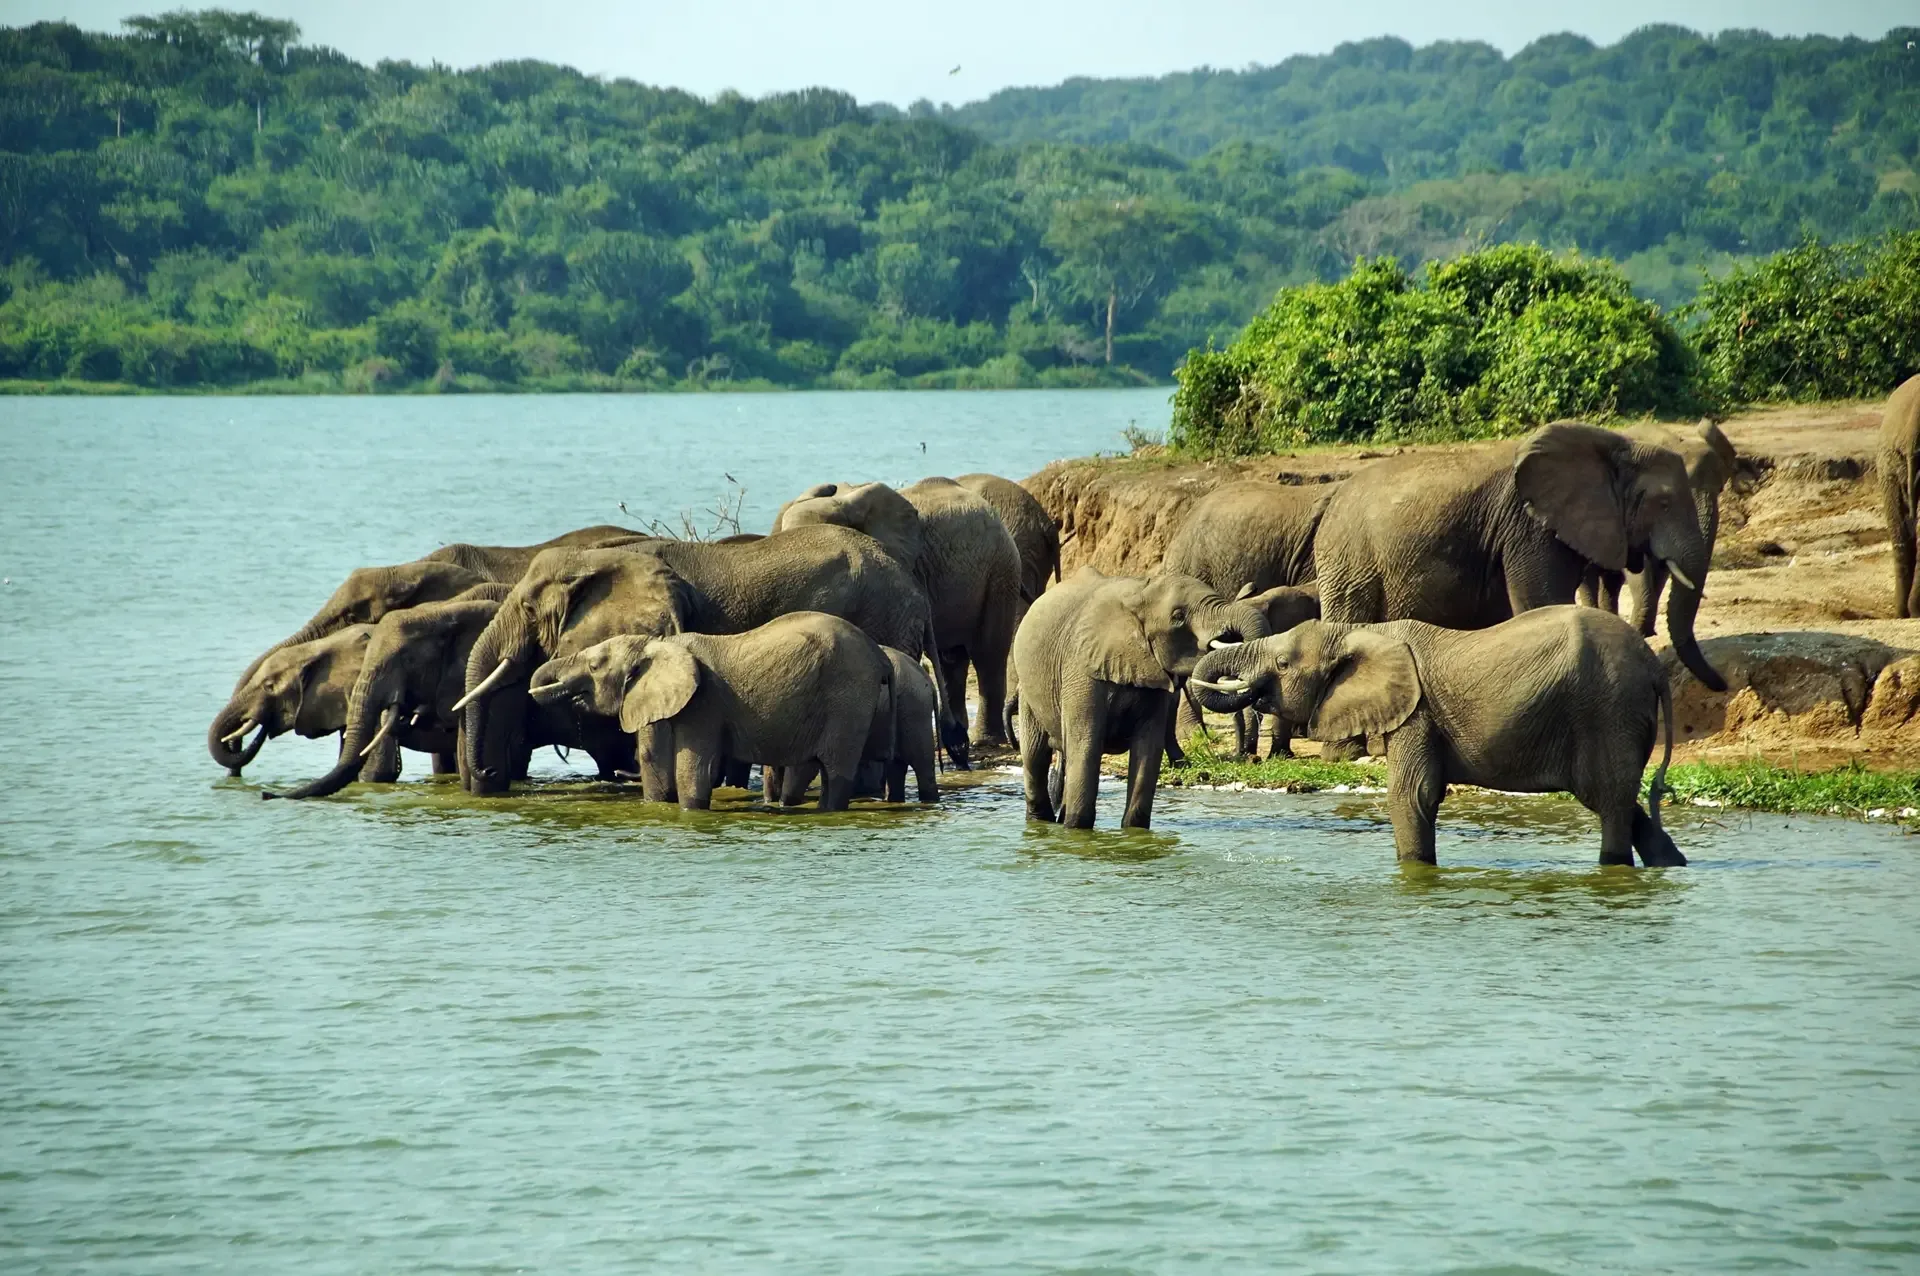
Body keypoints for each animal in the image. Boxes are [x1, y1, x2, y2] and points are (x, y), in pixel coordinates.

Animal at [528, 612, 892, 811]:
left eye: (594, 666)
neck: (654, 644)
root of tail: (879, 655)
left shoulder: (704, 703)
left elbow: (694, 768)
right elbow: (654, 762)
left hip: (848, 698)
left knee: (836, 770)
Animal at [1011, 567, 1251, 830]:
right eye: (1178, 617)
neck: (1140, 594)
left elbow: (1148, 750)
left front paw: (1134, 832)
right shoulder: (1081, 667)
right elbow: (1085, 745)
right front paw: (1076, 831)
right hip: (1028, 692)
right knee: (1035, 756)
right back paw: (1040, 823)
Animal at [1189, 606, 1684, 868]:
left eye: (1283, 663)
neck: (1361, 632)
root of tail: (1656, 669)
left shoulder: (1417, 714)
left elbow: (1413, 794)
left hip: (1608, 709)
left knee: (1609, 800)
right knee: (1616, 798)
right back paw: (1671, 866)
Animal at [1581, 421, 1738, 635]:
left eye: (1720, 489)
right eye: (1666, 502)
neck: (1673, 441)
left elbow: (1662, 568)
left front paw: (1645, 632)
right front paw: (1640, 631)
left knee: (1611, 581)